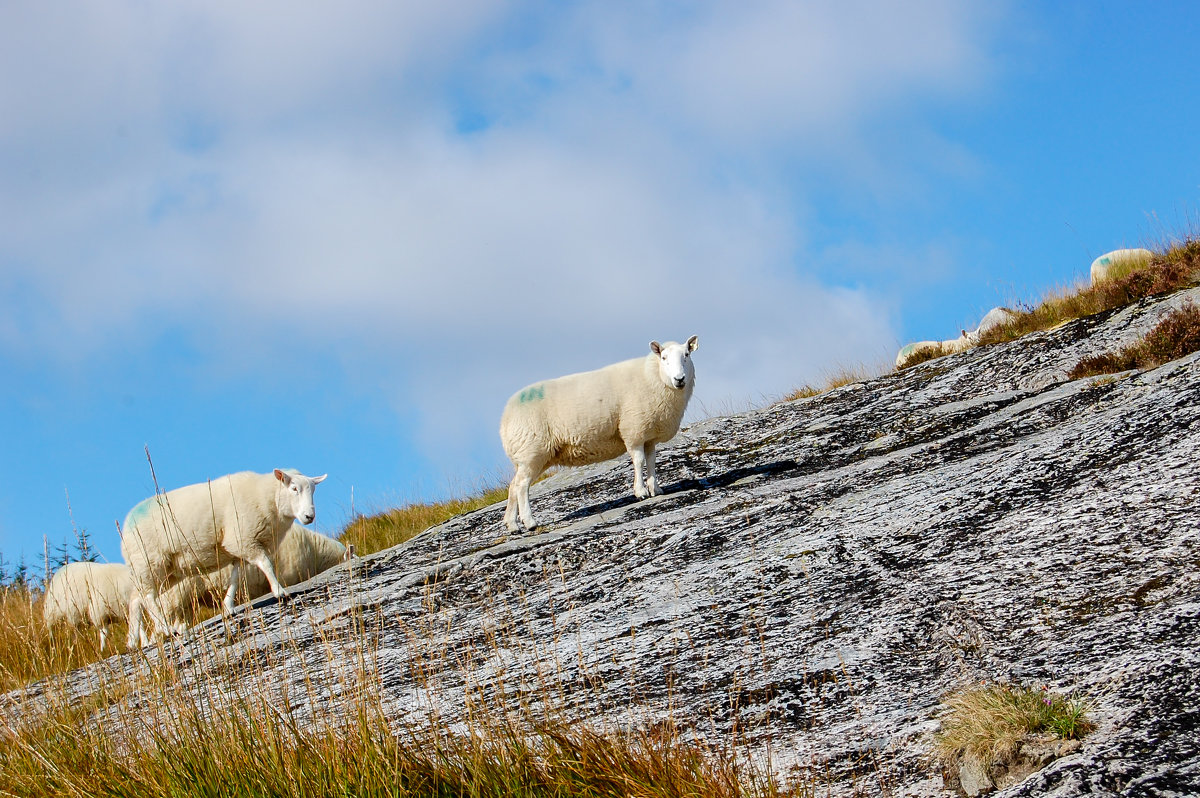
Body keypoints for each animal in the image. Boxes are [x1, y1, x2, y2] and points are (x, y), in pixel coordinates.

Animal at [120, 468, 326, 643]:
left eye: (314, 490)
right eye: (294, 488)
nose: (309, 516)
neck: (266, 498)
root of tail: (126, 524)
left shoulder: (239, 547)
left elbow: (235, 577)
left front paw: (228, 607)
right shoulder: (243, 538)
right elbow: (266, 564)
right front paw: (279, 591)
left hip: (166, 570)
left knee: (136, 599)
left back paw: (134, 641)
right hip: (150, 560)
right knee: (148, 598)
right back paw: (166, 628)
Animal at [499, 333, 700, 532]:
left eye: (687, 355)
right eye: (664, 358)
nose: (679, 379)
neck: (651, 376)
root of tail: (505, 418)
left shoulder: (649, 436)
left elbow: (651, 461)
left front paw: (656, 489)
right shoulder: (633, 430)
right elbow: (639, 461)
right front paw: (641, 492)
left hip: (531, 456)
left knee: (513, 486)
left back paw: (512, 524)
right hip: (532, 450)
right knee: (522, 486)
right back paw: (530, 522)